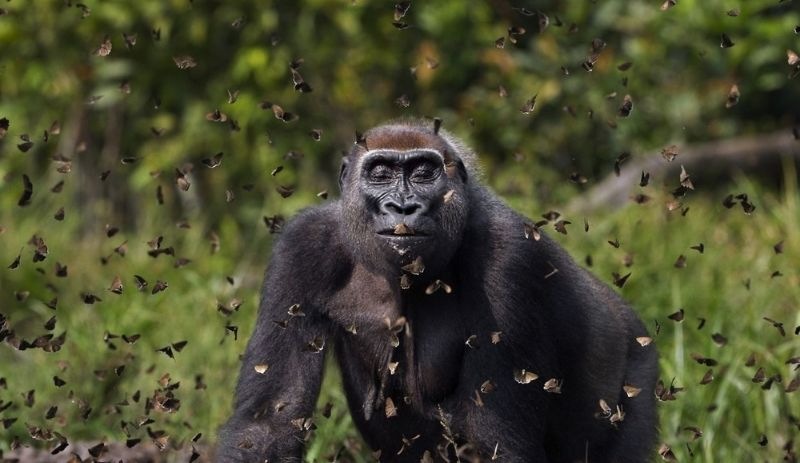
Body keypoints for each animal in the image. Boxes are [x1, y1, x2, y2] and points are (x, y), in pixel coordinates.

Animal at [216, 120, 660, 463]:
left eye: (423, 172)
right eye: (380, 173)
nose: (402, 207)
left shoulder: (510, 256)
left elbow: (496, 440)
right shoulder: (302, 246)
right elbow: (269, 423)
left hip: (639, 366)